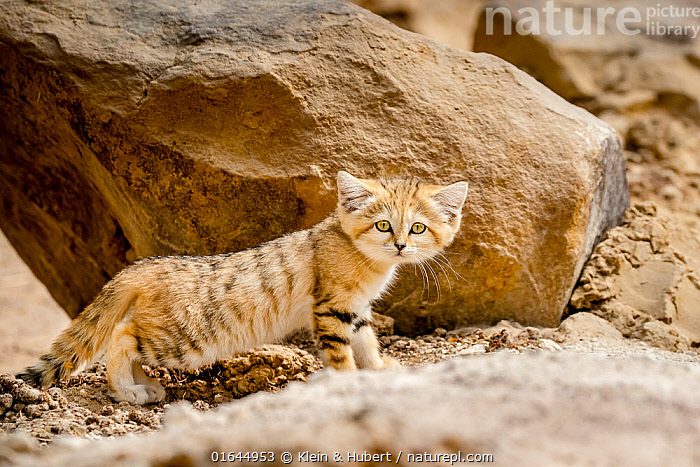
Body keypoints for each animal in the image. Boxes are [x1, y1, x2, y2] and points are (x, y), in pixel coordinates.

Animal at [19, 170, 468, 404]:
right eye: (382, 225)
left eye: (417, 227)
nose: (401, 245)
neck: (365, 260)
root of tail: (152, 263)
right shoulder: (331, 308)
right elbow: (342, 355)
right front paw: (349, 381)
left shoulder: (355, 310)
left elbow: (367, 342)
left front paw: (377, 370)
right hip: (184, 340)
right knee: (122, 335)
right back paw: (126, 391)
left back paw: (144, 385)